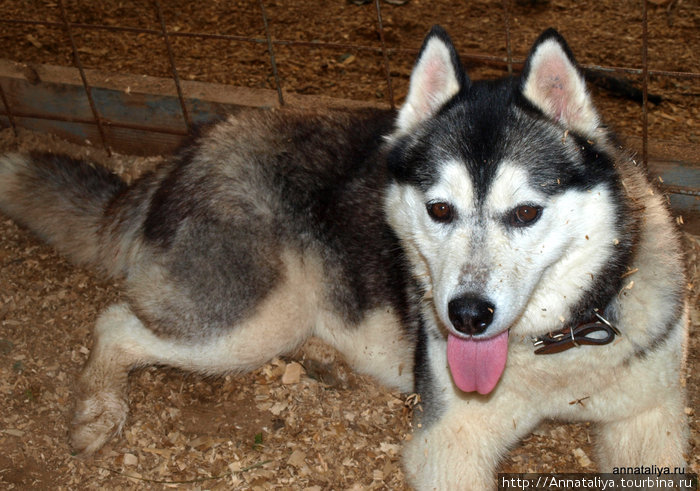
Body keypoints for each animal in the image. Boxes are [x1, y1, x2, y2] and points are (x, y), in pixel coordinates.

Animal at [0, 26, 688, 488]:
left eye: (525, 213)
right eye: (440, 209)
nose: (466, 316)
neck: (557, 352)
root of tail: (192, 147)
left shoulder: (650, 418)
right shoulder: (448, 443)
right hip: (252, 321)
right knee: (116, 321)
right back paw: (98, 406)